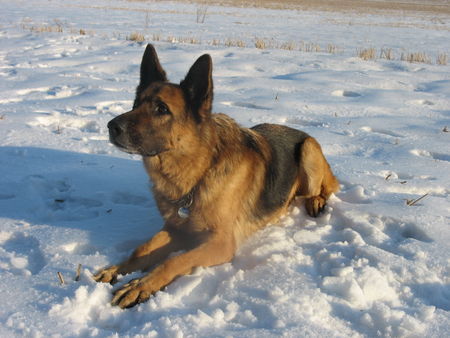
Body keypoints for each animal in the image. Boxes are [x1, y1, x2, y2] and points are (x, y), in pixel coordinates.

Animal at [96, 45, 342, 308]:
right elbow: (141, 250)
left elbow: (174, 260)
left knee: (324, 189)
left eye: (161, 109)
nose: (111, 126)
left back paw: (315, 202)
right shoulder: (175, 228)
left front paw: (141, 285)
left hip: (308, 151)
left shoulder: (221, 243)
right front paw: (117, 270)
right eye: (135, 103)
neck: (199, 172)